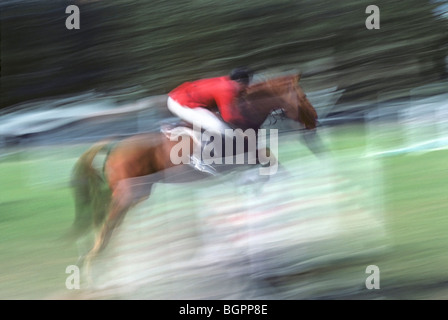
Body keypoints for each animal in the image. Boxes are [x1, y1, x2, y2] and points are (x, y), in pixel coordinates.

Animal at [66, 72, 320, 280]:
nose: (315, 119)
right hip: (127, 194)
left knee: (108, 222)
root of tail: (115, 147)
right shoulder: (242, 157)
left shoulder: (244, 164)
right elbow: (270, 162)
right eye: (304, 95)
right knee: (106, 227)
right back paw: (93, 269)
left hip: (137, 192)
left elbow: (268, 169)